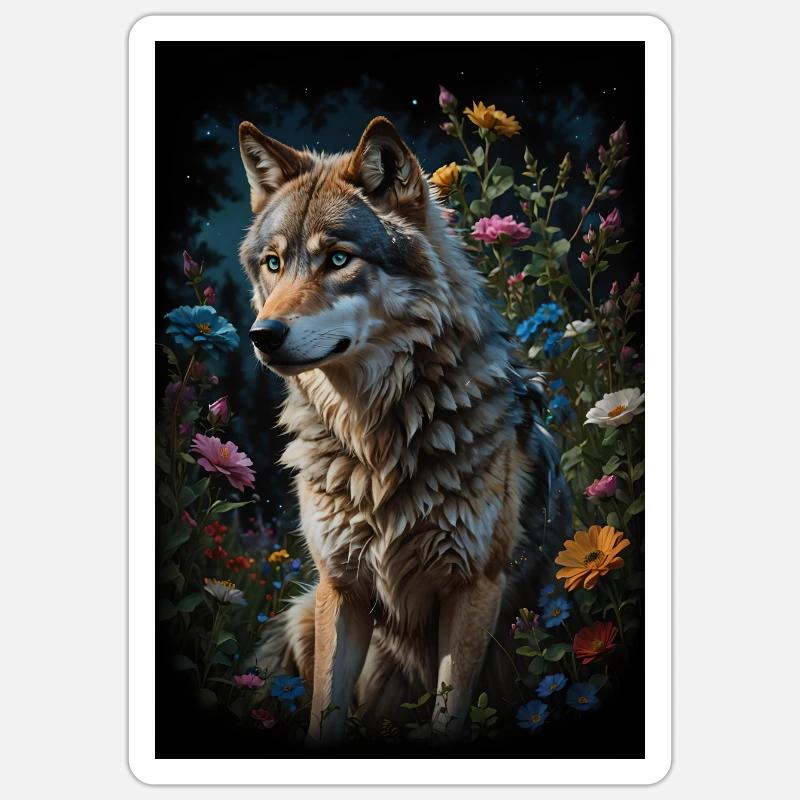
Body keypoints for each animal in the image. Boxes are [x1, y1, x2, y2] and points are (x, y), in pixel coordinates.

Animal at [237, 116, 569, 745]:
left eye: (338, 259)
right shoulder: (341, 587)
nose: (261, 336)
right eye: (273, 263)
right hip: (303, 612)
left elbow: (446, 715)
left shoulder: (473, 586)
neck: (377, 441)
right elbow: (324, 710)